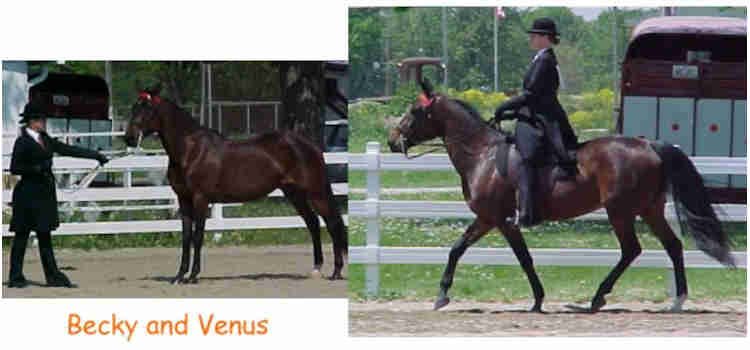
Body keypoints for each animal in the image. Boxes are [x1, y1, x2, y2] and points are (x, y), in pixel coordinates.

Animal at [123, 85, 346, 284]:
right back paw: (316, 269)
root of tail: (310, 145)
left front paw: (193, 276)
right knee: (313, 223)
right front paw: (179, 276)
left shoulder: (200, 199)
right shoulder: (183, 199)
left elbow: (198, 236)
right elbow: (186, 238)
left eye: (147, 108)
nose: (129, 138)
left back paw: (336, 272)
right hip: (294, 193)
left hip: (315, 192)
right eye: (133, 108)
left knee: (332, 224)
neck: (190, 150)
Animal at [388, 80, 736, 314]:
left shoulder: (497, 219)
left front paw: (443, 296)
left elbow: (511, 256)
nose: (393, 140)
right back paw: (677, 300)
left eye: (415, 111)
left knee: (631, 250)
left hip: (620, 211)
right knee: (673, 246)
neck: (482, 155)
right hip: (649, 209)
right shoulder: (490, 219)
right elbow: (465, 249)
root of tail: (650, 145)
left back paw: (596, 299)